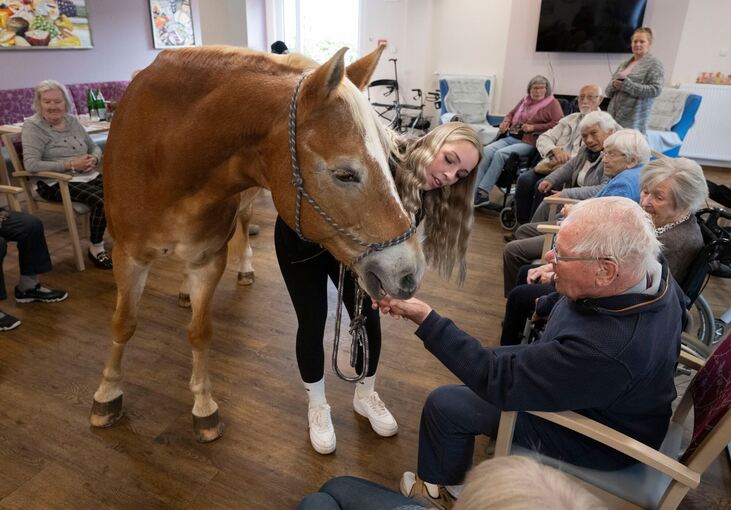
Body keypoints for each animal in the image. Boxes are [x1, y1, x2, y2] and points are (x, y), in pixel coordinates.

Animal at [89, 45, 426, 442]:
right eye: (345, 173)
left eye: (392, 161)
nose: (409, 272)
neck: (165, 154)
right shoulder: (127, 255)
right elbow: (123, 323)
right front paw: (107, 393)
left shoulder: (208, 258)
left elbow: (200, 332)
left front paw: (203, 406)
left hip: (245, 208)